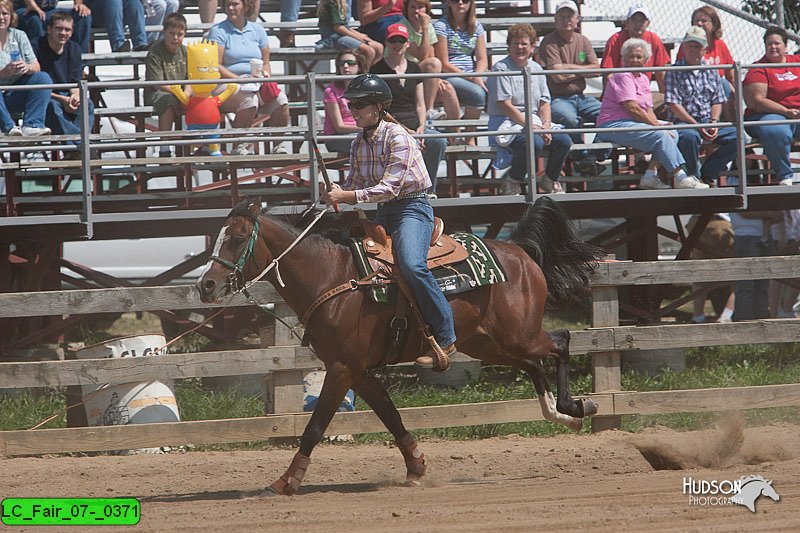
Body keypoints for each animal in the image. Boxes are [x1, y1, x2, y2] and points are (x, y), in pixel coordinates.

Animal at [197, 195, 604, 494]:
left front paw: (286, 481)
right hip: (490, 343)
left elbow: (315, 426)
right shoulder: (357, 370)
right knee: (535, 364)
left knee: (562, 343)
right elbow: (390, 416)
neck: (331, 277)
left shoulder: (342, 369)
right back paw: (562, 414)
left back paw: (575, 406)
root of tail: (518, 250)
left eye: (236, 239)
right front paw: (417, 467)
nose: (206, 286)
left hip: (519, 335)